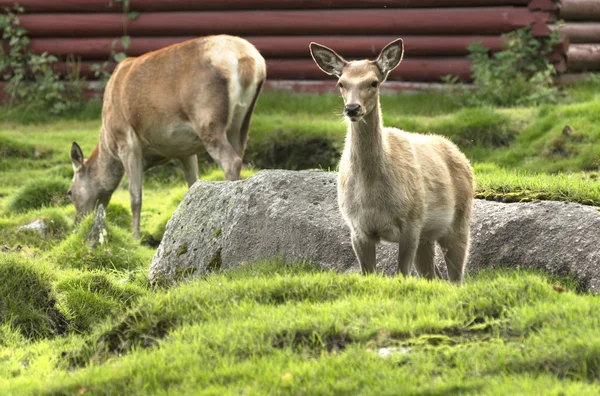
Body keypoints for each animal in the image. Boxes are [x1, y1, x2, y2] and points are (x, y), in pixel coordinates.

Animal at [68, 35, 264, 238]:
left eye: (69, 192)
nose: (77, 225)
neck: (108, 143)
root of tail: (249, 60)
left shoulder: (127, 140)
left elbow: (135, 196)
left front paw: (135, 237)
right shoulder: (185, 149)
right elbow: (192, 183)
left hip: (207, 117)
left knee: (231, 161)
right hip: (241, 121)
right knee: (239, 154)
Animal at [310, 38, 474, 284]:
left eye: (374, 82)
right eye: (340, 83)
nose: (352, 108)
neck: (372, 196)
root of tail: (461, 155)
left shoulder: (411, 222)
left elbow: (402, 274)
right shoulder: (357, 229)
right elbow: (368, 273)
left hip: (459, 221)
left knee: (456, 277)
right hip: (426, 237)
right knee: (433, 276)